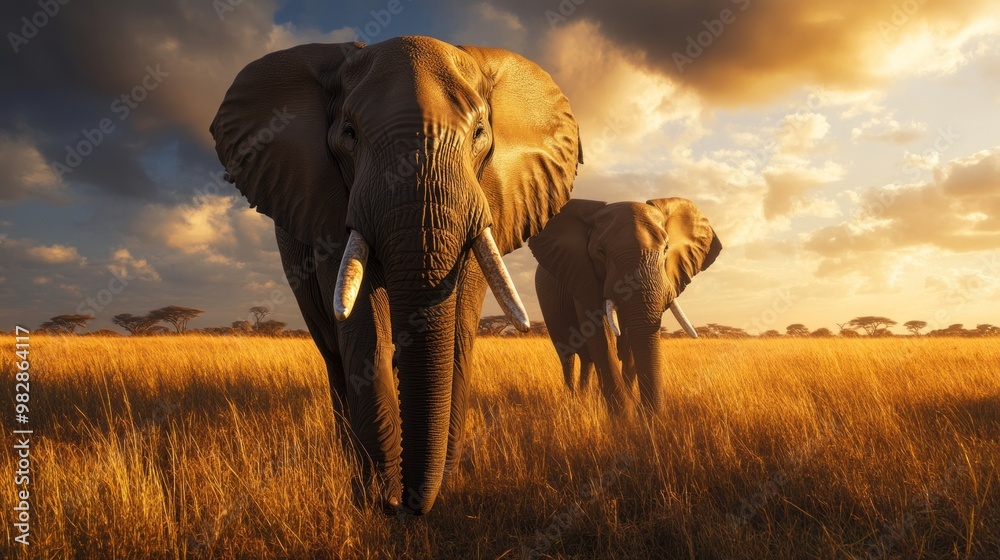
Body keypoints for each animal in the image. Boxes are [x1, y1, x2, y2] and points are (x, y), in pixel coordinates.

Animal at [210, 37, 581, 515]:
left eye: (480, 133)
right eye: (349, 135)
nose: (408, 506)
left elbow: (457, 332)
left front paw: (437, 489)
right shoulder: (330, 209)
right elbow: (364, 329)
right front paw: (378, 497)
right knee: (334, 357)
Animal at [529, 198, 721, 412]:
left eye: (666, 249)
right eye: (601, 253)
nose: (650, 414)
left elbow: (629, 344)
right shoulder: (581, 273)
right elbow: (602, 338)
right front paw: (624, 417)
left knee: (587, 359)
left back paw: (584, 397)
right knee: (567, 355)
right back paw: (572, 401)